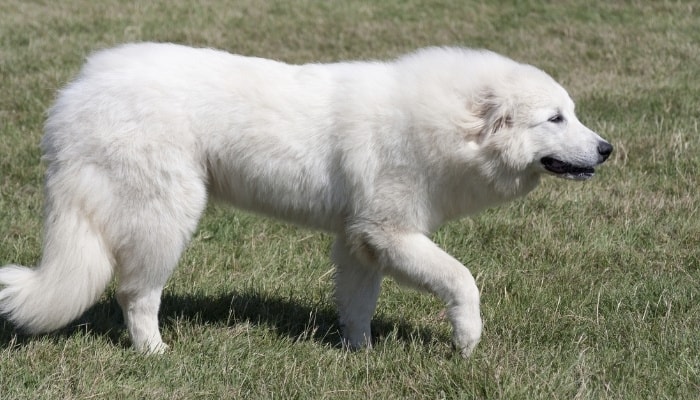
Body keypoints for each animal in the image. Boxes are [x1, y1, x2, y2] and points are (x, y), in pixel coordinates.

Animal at [0, 43, 608, 356]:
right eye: (554, 119)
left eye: (572, 113)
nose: (608, 149)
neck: (450, 128)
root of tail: (77, 94)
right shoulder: (392, 231)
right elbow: (463, 280)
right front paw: (467, 340)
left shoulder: (362, 242)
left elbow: (358, 306)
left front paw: (359, 355)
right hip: (165, 216)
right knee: (137, 294)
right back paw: (156, 354)